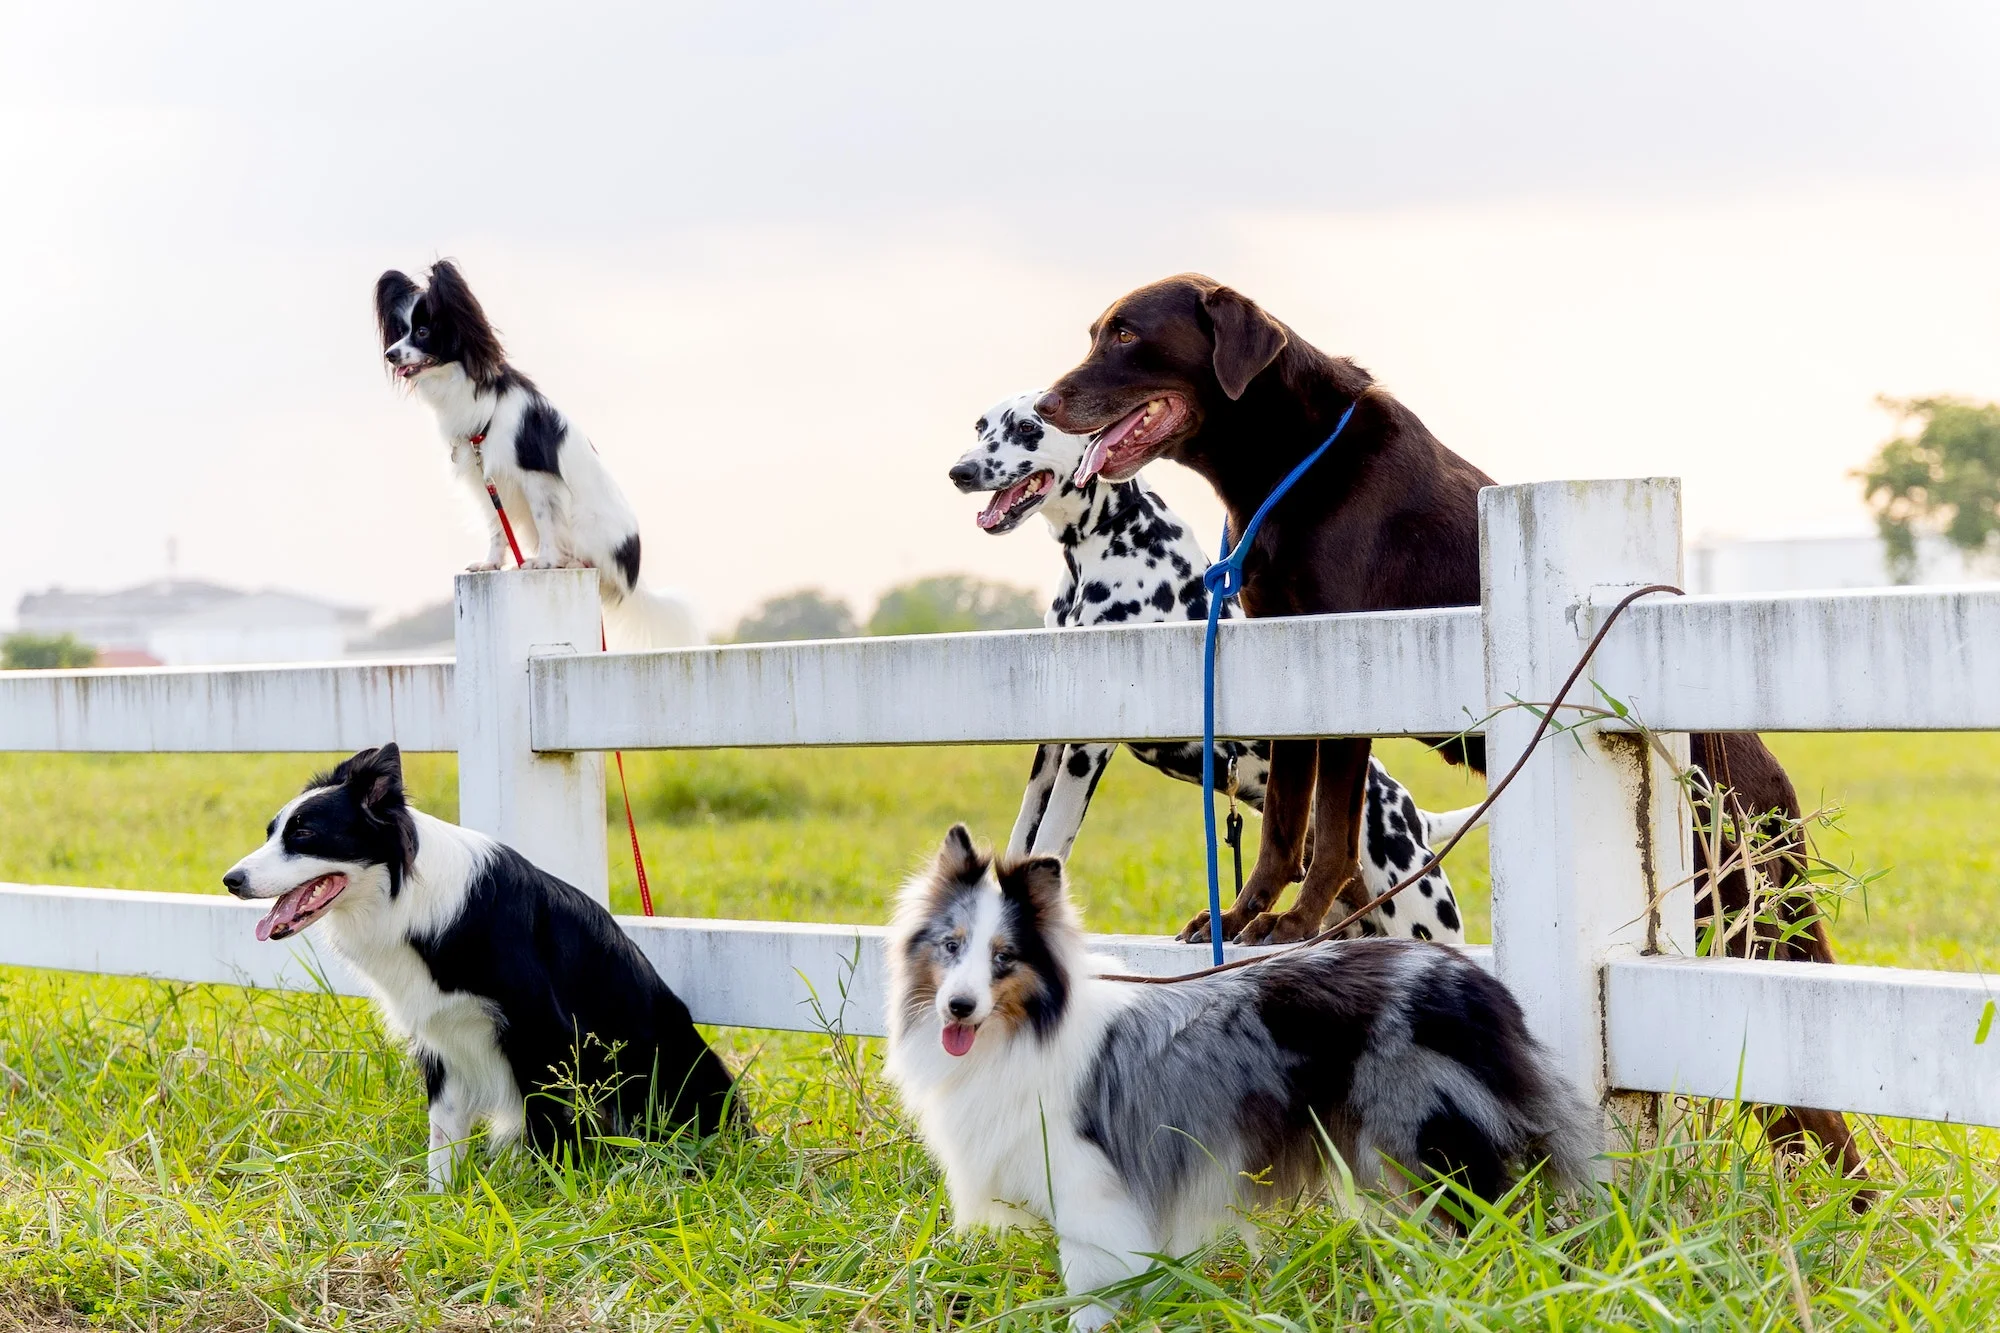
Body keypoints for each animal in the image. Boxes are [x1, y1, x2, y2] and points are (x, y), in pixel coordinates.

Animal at [225, 740, 744, 1184]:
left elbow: (547, 1129)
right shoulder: (441, 1038)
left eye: (304, 833)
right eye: (271, 833)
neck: (407, 899)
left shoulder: (541, 1032)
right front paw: (441, 1205)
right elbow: (443, 1137)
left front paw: (552, 1196)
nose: (231, 880)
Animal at [376, 256, 704, 644]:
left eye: (424, 332)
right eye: (400, 331)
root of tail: (632, 576)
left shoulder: (535, 478)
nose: (390, 354)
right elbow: (496, 528)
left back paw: (569, 561)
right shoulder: (486, 478)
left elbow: (546, 520)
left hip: (585, 523)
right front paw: (491, 563)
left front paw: (545, 562)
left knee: (585, 556)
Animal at [888, 824, 1592, 1320]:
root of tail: (1477, 984)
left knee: (1501, 1220)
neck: (1027, 1028)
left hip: (1427, 1139)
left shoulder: (1088, 1188)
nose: (958, 1007)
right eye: (951, 946)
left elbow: (1089, 1289)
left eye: (1003, 958)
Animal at [944, 390, 1480, 940]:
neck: (1109, 539)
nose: (960, 471)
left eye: (1029, 428)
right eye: (981, 425)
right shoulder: (1052, 745)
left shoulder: (1087, 747)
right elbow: (1023, 836)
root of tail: (1413, 816)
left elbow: (1053, 838)